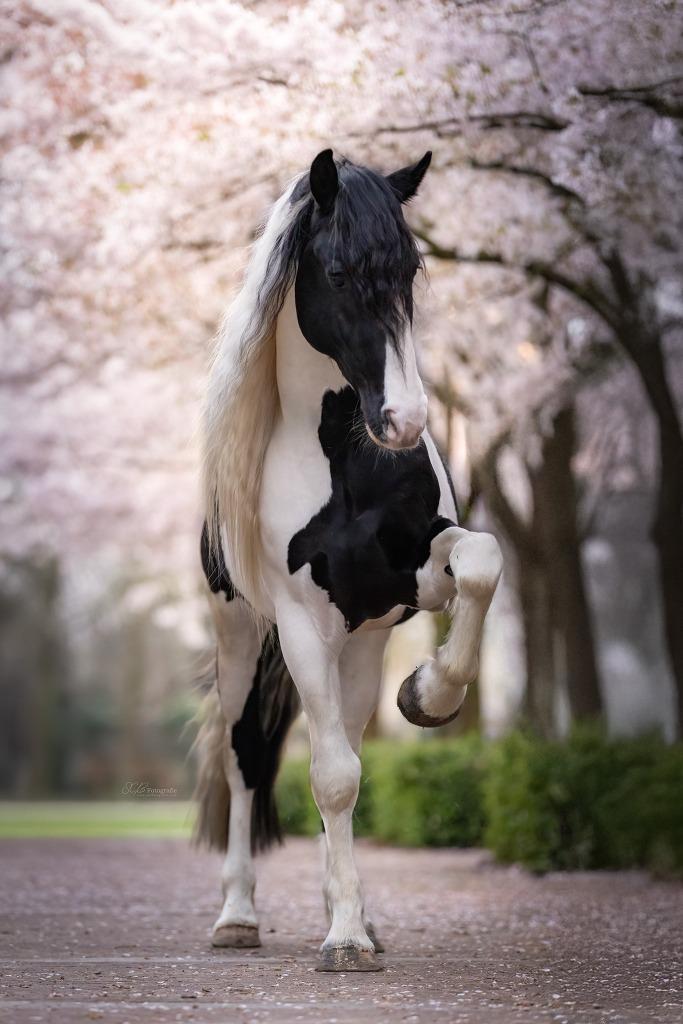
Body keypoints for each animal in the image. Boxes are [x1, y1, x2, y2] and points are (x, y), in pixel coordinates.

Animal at [194, 149, 502, 972]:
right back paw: (237, 917)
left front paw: (430, 694)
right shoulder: (302, 624)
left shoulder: (417, 573)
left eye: (410, 270)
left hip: (362, 642)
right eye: (336, 272)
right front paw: (343, 942)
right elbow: (329, 778)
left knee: (354, 738)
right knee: (245, 758)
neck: (346, 458)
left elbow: (482, 562)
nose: (404, 419)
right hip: (240, 638)